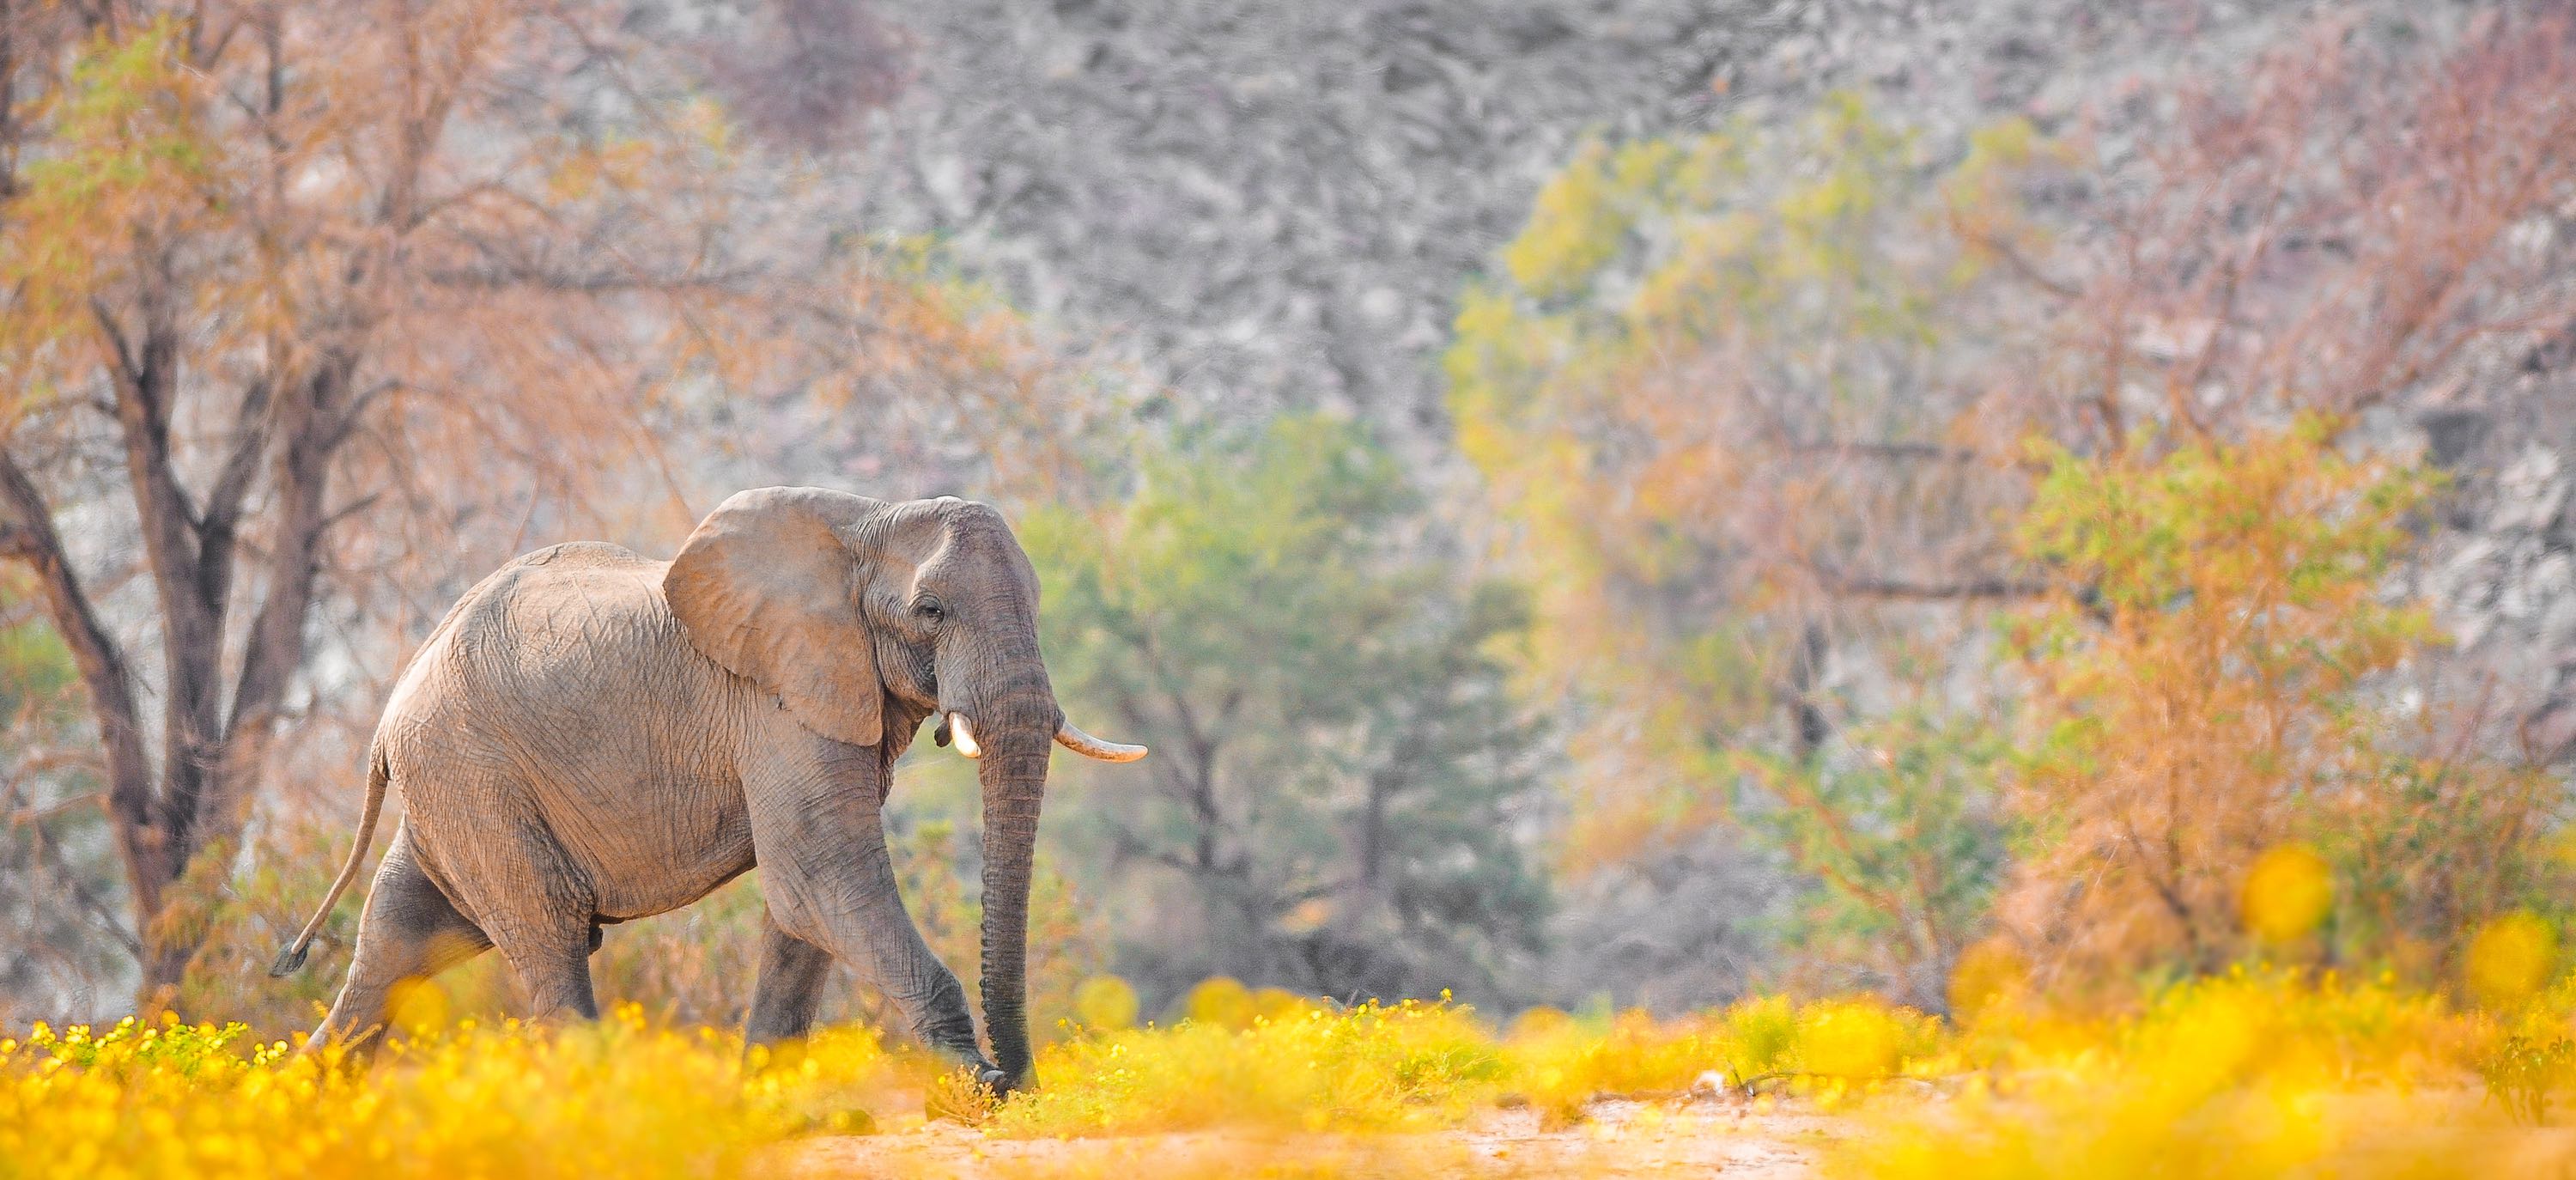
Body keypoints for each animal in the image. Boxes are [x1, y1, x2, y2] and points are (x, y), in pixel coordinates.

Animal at [266, 487, 1144, 1087]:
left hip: (452, 789)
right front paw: (980, 1087)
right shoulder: (776, 702)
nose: (1023, 1077)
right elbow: (821, 877)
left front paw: (765, 1102)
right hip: (472, 776)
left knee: (399, 941)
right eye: (930, 611)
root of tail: (389, 714)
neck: (867, 522)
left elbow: (803, 903)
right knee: (546, 937)